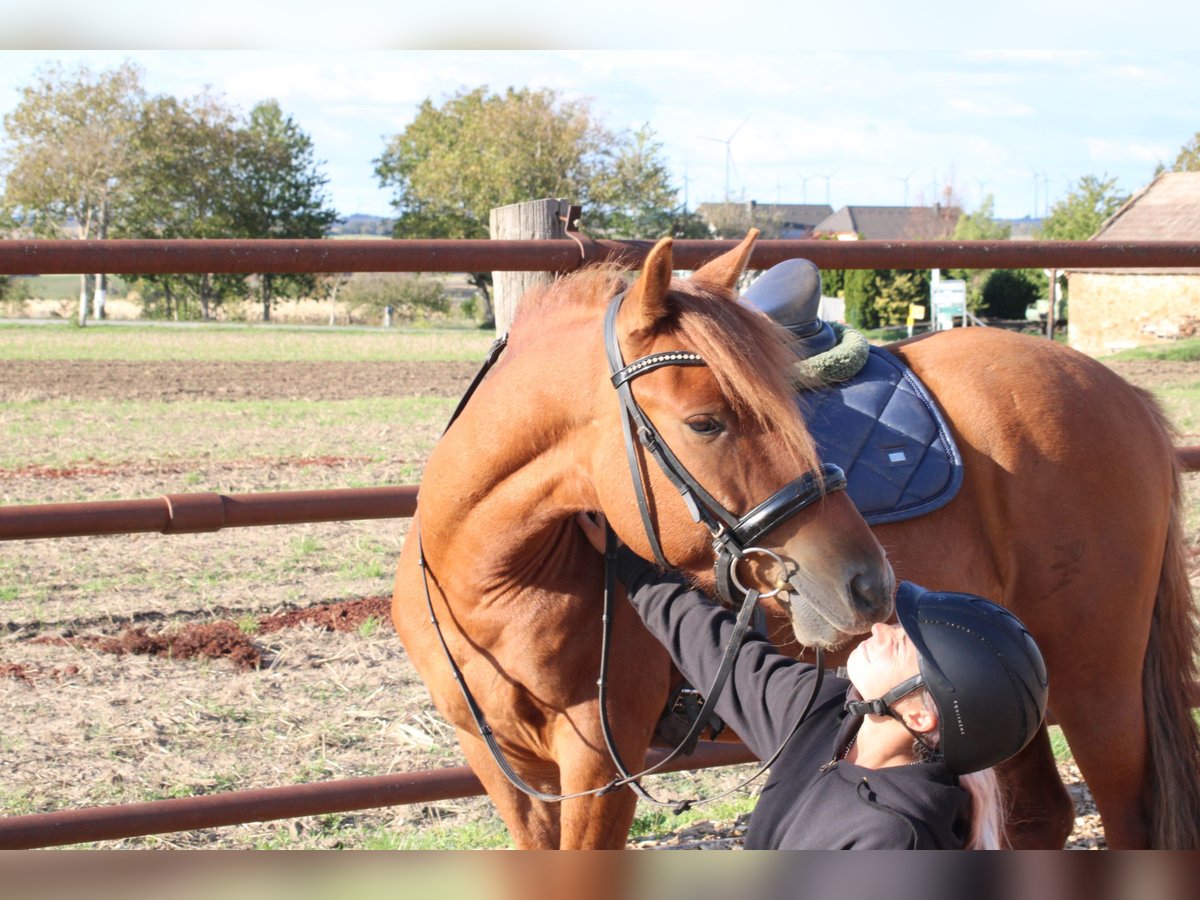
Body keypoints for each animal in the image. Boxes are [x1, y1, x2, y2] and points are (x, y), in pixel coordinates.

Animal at [396, 234, 1200, 854]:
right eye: (706, 422)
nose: (868, 583)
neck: (492, 581)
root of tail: (1127, 398)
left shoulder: (598, 767)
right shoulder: (503, 769)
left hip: (1098, 690)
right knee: (1040, 818)